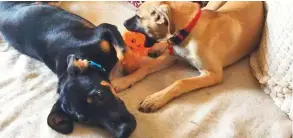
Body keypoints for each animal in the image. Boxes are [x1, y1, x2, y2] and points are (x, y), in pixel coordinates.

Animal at [0, 2, 136, 138]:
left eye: (99, 95)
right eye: (87, 121)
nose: (125, 131)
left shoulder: (104, 28)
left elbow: (124, 50)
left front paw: (130, 65)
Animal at [111, 1, 262, 112]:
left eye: (138, 17)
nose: (123, 23)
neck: (188, 31)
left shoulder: (213, 74)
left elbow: (181, 82)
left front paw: (156, 99)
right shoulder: (171, 57)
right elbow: (145, 67)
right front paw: (123, 82)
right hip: (213, 5)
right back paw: (157, 48)